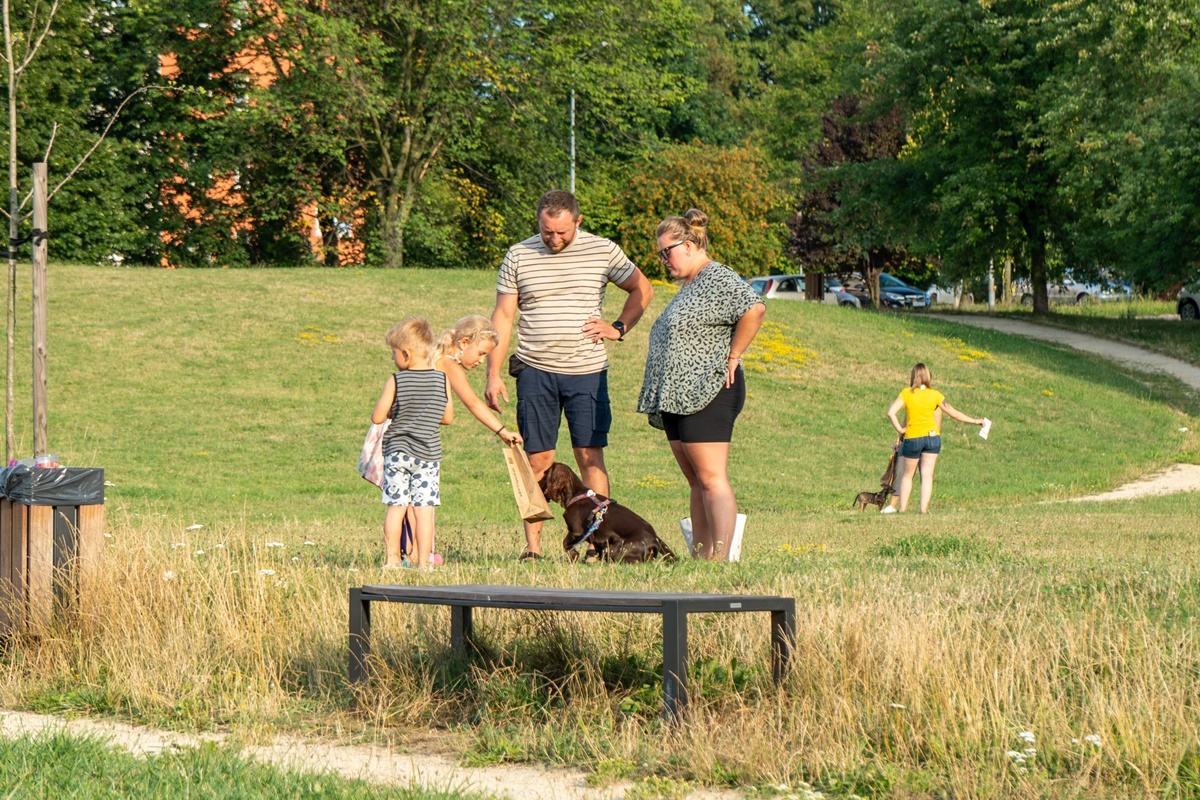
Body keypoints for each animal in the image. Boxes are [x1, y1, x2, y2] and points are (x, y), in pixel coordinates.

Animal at [538, 462, 675, 563]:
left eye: (545, 474)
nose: (537, 483)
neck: (577, 494)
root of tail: (655, 539)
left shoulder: (576, 531)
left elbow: (566, 543)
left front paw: (573, 556)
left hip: (617, 548)